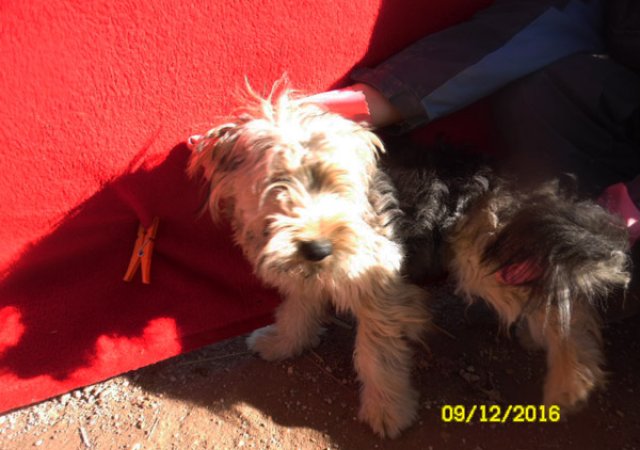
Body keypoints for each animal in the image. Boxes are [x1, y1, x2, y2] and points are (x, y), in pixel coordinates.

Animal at [187, 84, 430, 438]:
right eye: (276, 183)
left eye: (337, 183)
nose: (318, 248)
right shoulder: (303, 273)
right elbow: (296, 310)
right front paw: (283, 342)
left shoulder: (377, 289)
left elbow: (377, 355)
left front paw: (388, 409)